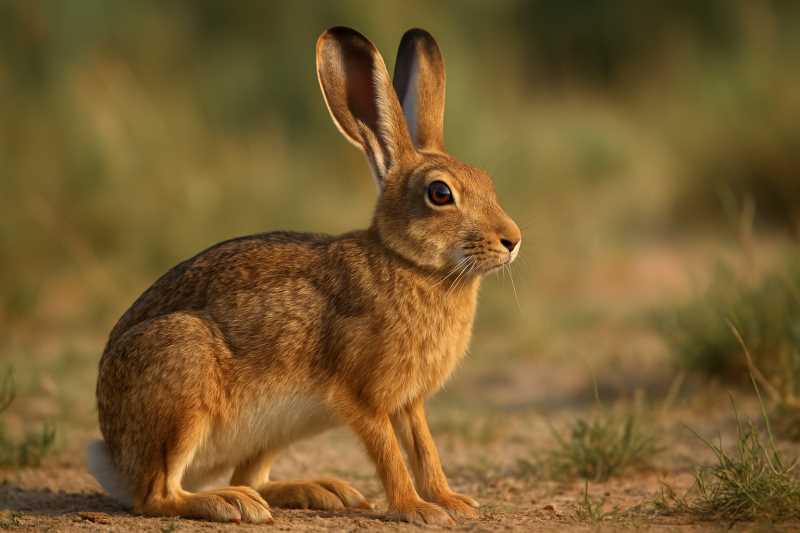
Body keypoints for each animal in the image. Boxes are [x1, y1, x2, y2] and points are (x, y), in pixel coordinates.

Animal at [88, 26, 521, 526]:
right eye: (440, 193)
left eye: (487, 181)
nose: (512, 239)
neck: (408, 263)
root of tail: (114, 455)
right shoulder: (362, 396)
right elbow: (390, 455)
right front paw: (418, 509)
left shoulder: (409, 403)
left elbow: (424, 450)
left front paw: (452, 501)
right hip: (182, 380)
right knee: (158, 494)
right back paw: (230, 503)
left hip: (270, 429)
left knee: (250, 477)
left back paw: (323, 491)